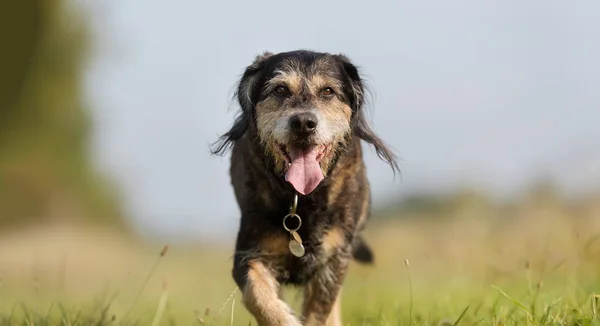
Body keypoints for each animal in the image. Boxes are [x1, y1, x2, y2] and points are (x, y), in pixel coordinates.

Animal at [211, 49, 398, 324]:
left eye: (328, 91)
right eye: (280, 89)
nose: (303, 122)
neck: (302, 197)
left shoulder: (334, 258)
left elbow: (319, 311)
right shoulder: (250, 252)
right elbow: (257, 295)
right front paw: (284, 319)